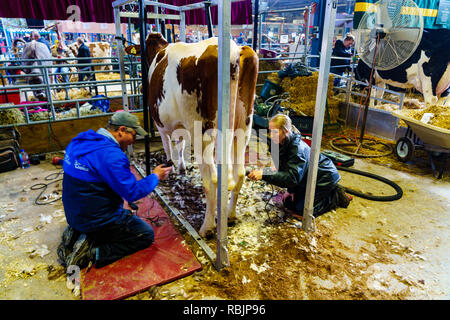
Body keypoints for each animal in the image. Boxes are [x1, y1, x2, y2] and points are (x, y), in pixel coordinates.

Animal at [126, 33, 258, 236]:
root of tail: (235, 51)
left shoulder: (160, 123)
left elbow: (168, 146)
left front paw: (170, 168)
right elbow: (180, 144)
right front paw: (181, 167)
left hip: (203, 133)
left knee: (212, 179)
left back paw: (206, 227)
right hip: (244, 126)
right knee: (240, 173)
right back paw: (230, 215)